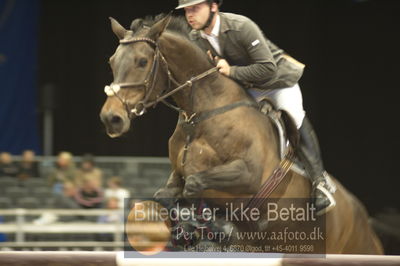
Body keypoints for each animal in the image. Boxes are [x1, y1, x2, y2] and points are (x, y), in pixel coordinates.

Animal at [98, 14, 382, 254]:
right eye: (112, 62)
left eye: (142, 61)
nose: (111, 118)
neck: (201, 113)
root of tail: (363, 216)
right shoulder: (178, 173)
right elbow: (166, 196)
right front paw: (187, 231)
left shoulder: (248, 176)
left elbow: (195, 184)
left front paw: (209, 227)